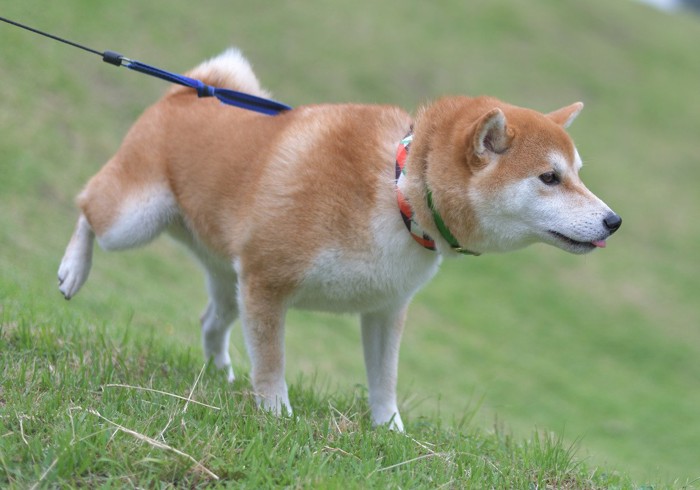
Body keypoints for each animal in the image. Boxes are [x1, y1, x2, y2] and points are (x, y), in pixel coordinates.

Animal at [57, 48, 620, 428]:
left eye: (577, 173)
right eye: (549, 178)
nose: (614, 221)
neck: (396, 193)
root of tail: (190, 89)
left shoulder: (385, 309)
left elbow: (384, 381)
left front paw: (390, 432)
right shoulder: (268, 282)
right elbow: (273, 361)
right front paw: (275, 412)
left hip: (229, 278)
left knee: (211, 320)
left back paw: (220, 372)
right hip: (135, 220)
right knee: (86, 206)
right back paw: (73, 270)